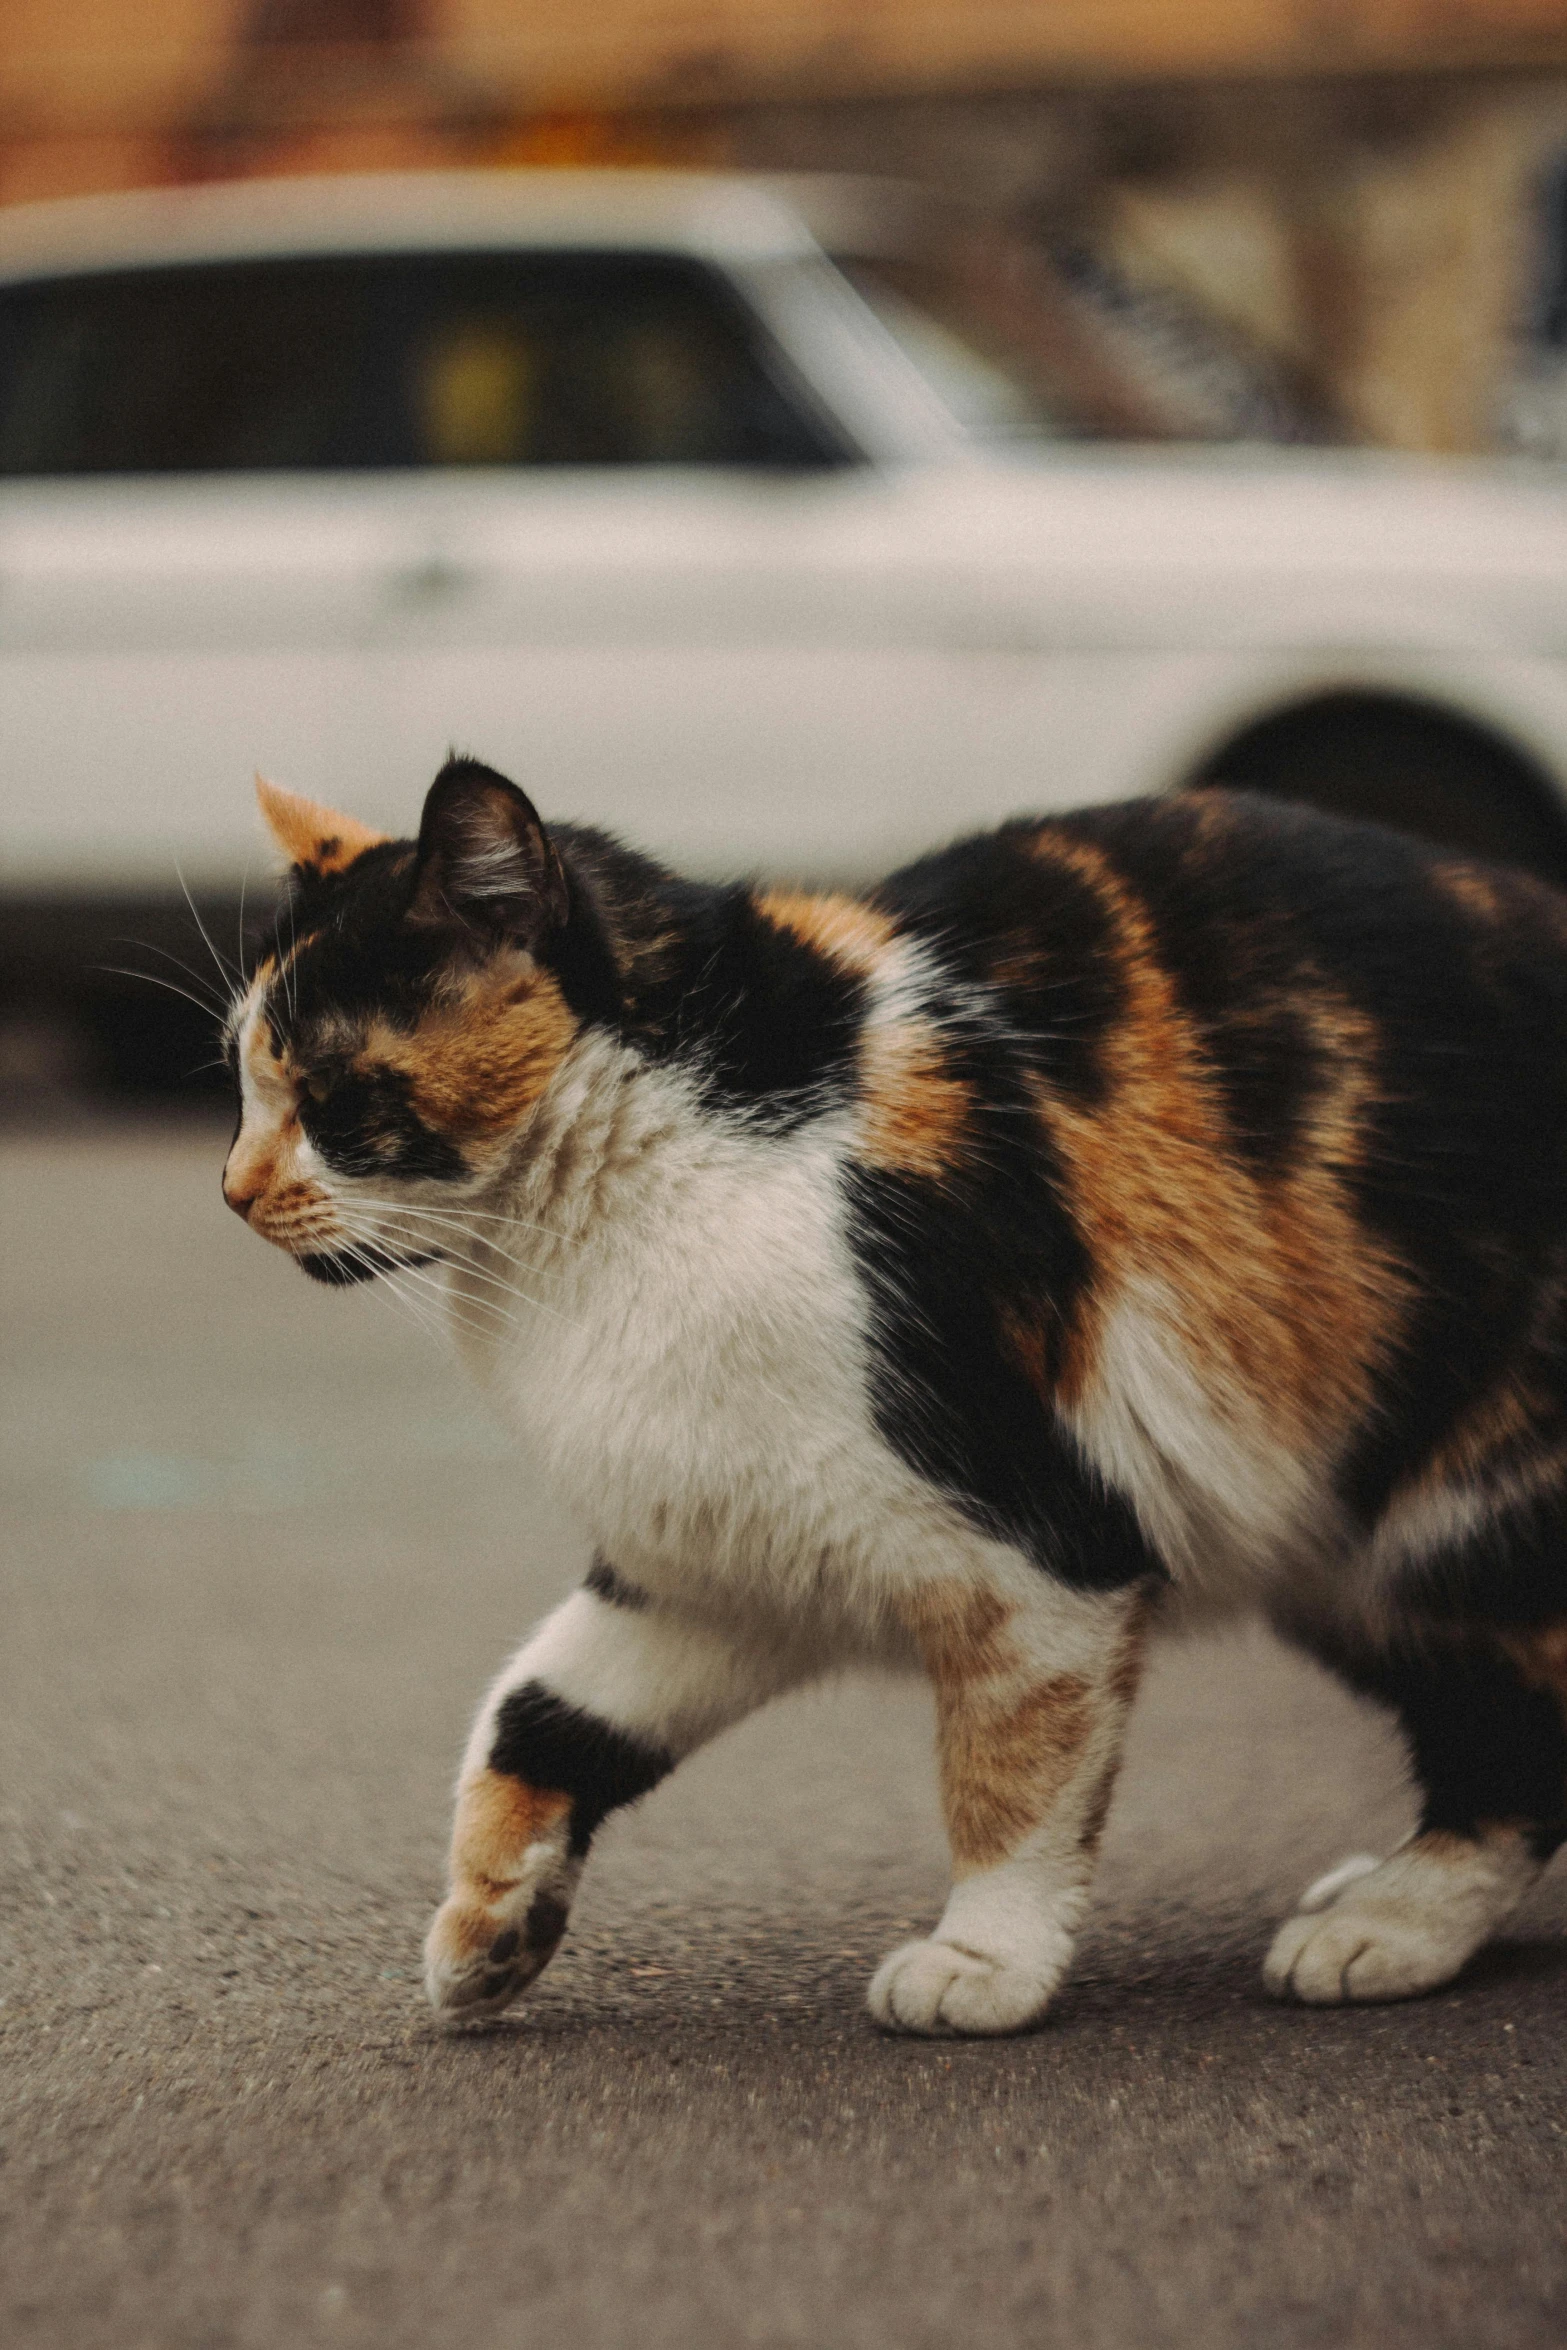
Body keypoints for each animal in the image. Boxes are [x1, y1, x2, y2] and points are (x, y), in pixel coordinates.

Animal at [223, 761, 1567, 2030]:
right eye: (241, 1087)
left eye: (332, 1095)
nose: (233, 1193)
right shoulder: (712, 1557)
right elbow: (537, 1712)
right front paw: (487, 1934)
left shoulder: (1038, 1555)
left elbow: (1012, 1776)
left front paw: (985, 1959)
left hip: (1439, 1521)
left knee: (1518, 1740)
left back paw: (1385, 1925)